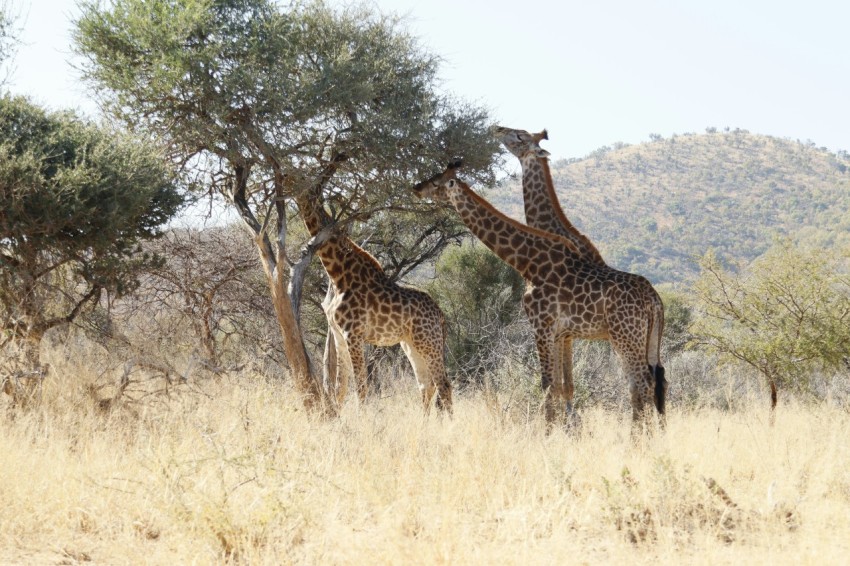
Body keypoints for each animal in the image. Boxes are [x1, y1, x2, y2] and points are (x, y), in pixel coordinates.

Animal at [294, 189, 450, 414]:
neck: (338, 275)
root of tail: (440, 314)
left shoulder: (353, 334)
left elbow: (361, 385)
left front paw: (362, 418)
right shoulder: (338, 335)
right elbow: (340, 387)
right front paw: (340, 418)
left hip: (429, 342)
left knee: (443, 384)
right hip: (411, 344)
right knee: (426, 384)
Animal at [410, 162, 664, 432]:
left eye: (436, 182)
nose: (416, 188)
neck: (528, 263)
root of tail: (655, 301)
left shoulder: (541, 326)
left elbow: (547, 384)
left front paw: (548, 432)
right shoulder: (559, 333)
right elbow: (559, 385)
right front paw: (562, 429)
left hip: (625, 336)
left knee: (642, 382)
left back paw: (638, 436)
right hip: (645, 337)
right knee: (649, 382)